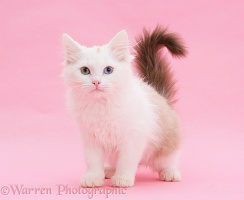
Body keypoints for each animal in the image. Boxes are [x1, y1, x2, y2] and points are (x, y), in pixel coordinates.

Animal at [62, 25, 186, 188]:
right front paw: (93, 177)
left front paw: (122, 178)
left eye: (108, 70)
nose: (96, 82)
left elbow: (127, 161)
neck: (102, 106)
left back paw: (170, 173)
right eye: (85, 70)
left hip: (166, 143)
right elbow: (93, 161)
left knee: (168, 160)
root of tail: (160, 94)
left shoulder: (133, 138)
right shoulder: (91, 139)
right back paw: (108, 171)